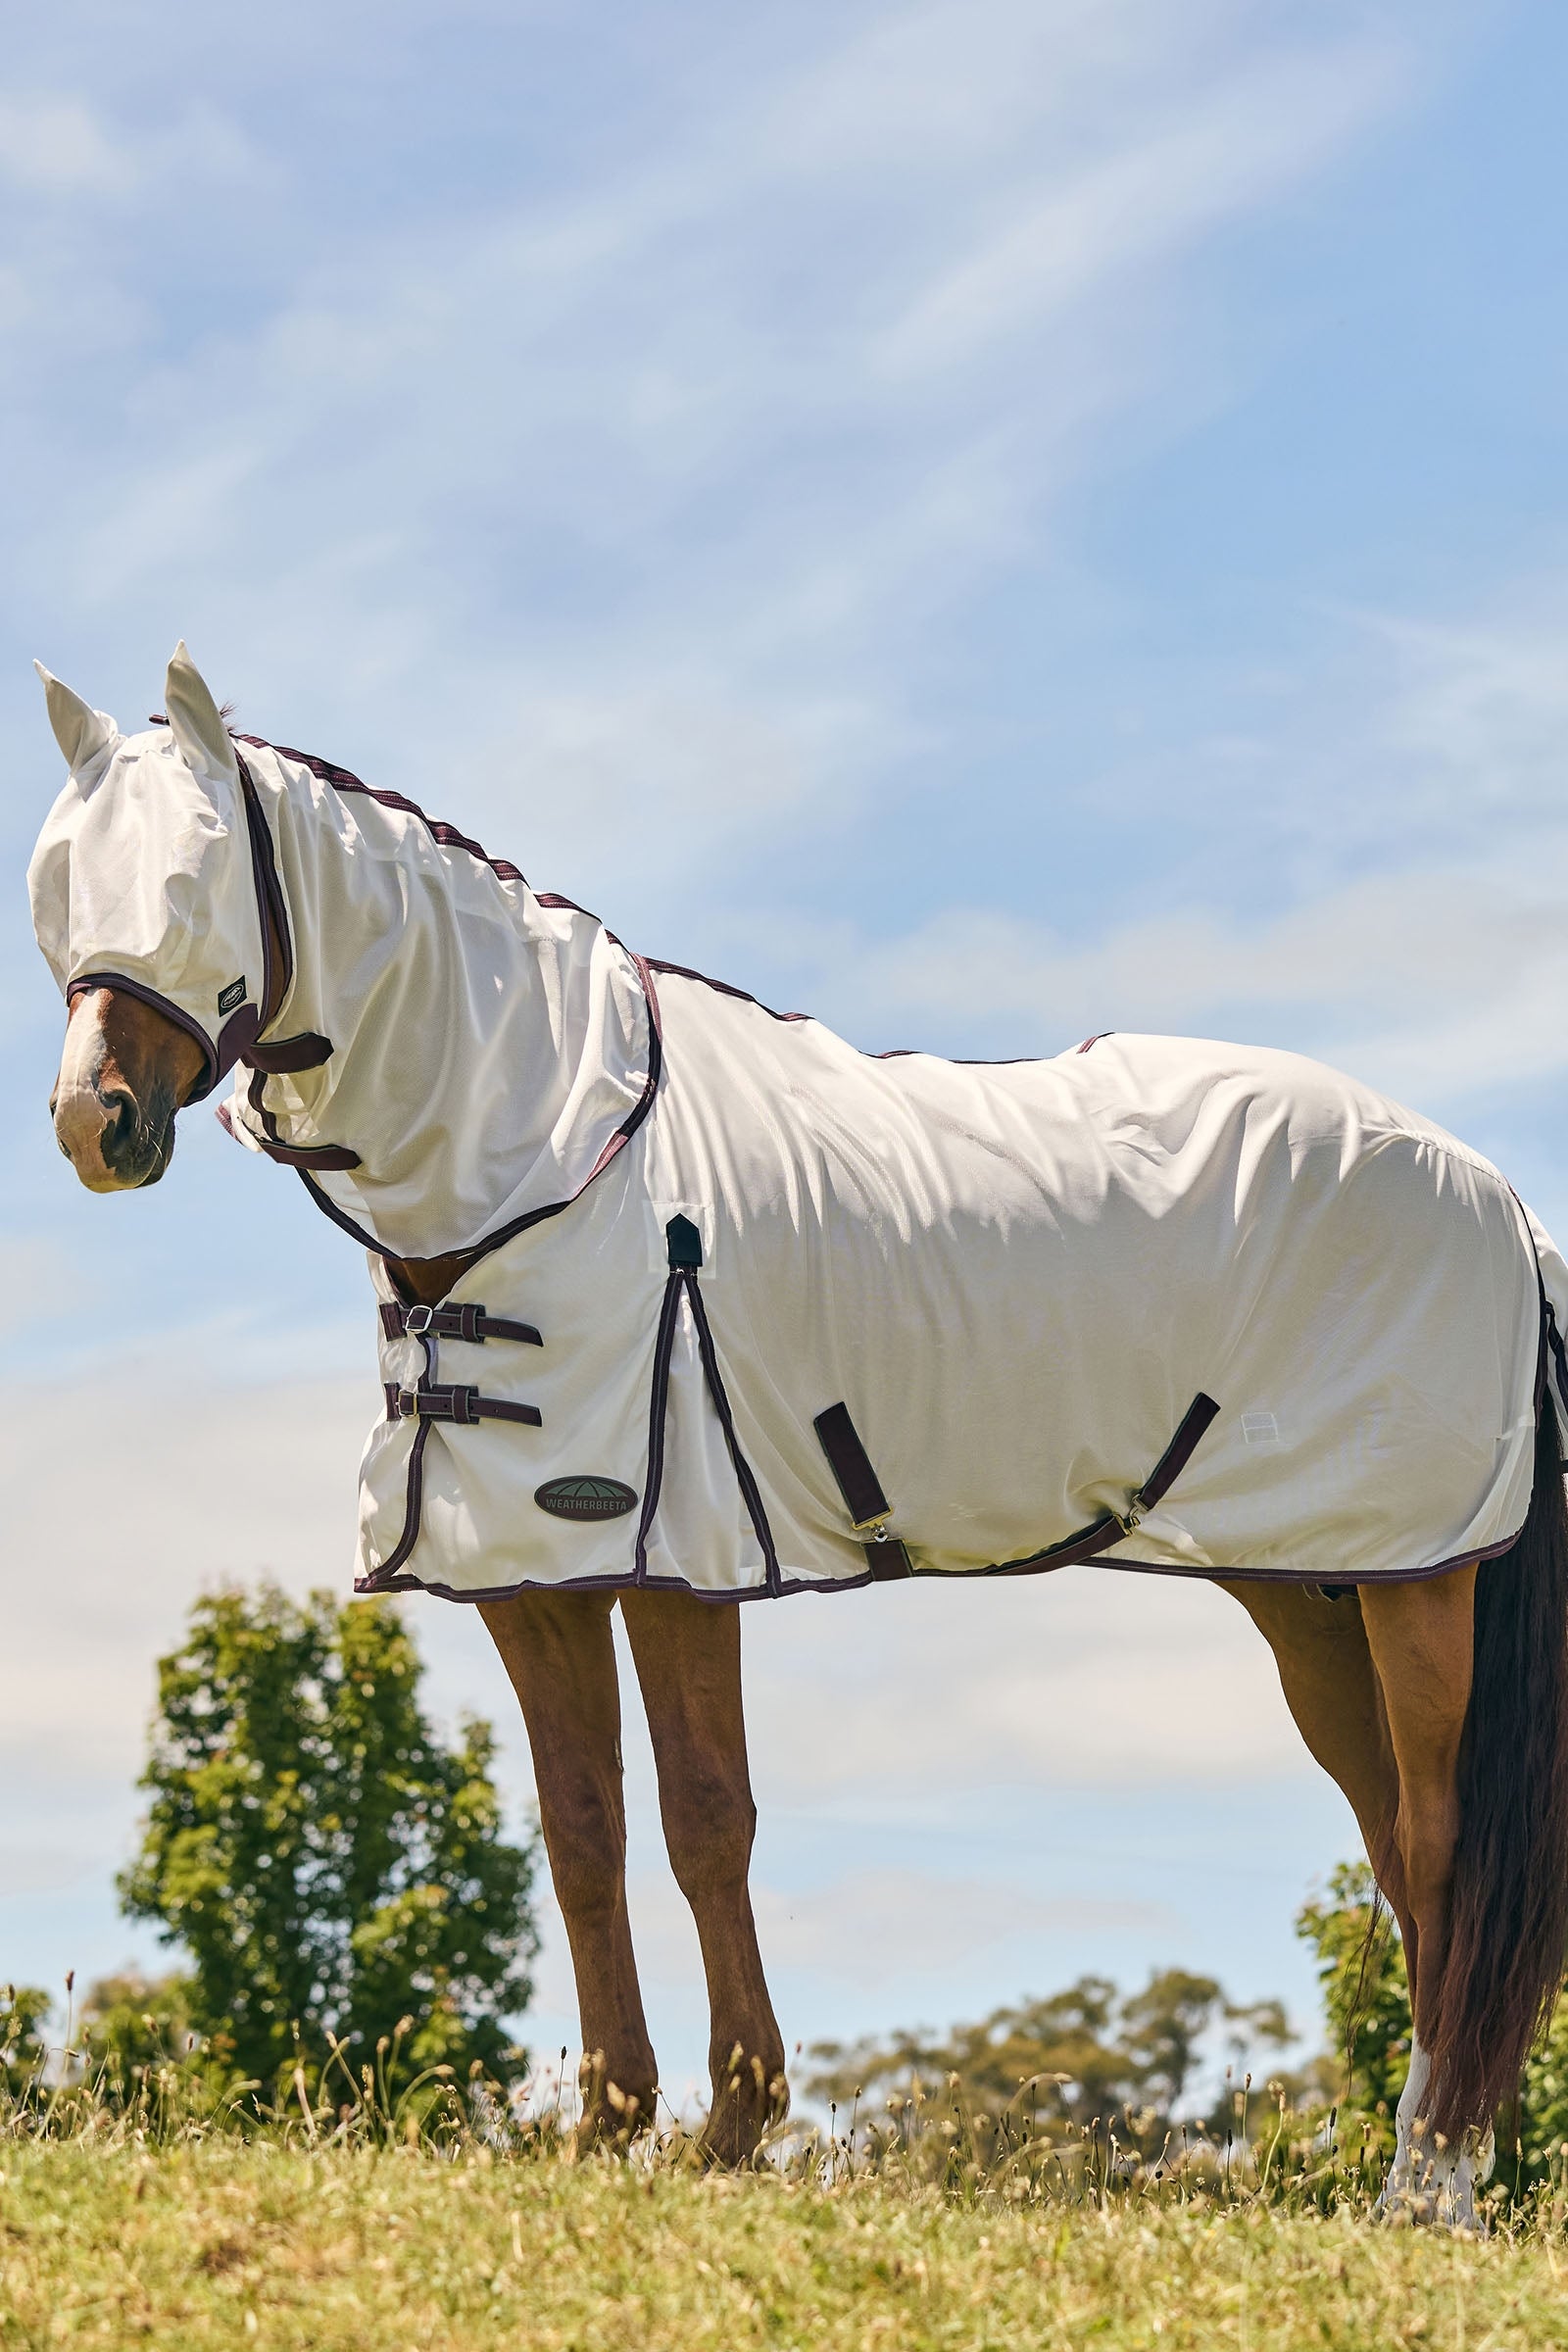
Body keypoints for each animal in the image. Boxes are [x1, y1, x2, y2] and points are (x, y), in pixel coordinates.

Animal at [29, 644, 1568, 2219]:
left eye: (195, 878)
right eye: (60, 884)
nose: (96, 1125)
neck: (550, 1151)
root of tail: (1495, 1199)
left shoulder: (672, 1553)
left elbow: (708, 1819)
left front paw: (733, 2127)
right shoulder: (529, 1574)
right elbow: (582, 1831)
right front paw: (608, 2127)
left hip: (1425, 1584)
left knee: (1444, 1847)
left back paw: (1430, 2186)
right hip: (1319, 1591)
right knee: (1401, 1848)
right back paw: (1440, 2169)